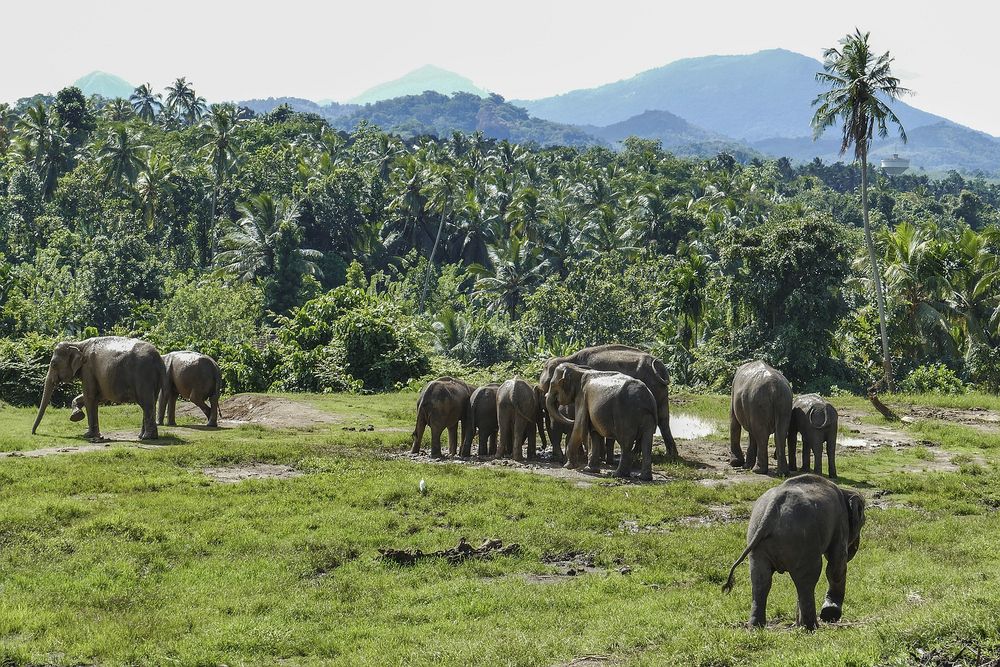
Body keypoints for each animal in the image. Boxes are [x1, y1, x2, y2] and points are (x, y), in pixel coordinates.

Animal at [32, 336, 166, 440]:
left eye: (54, 364)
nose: (33, 433)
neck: (77, 344)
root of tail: (158, 359)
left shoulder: (88, 369)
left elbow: (89, 396)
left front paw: (88, 435)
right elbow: (98, 397)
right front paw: (77, 416)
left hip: (143, 375)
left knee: (146, 403)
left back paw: (147, 437)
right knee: (151, 401)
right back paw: (142, 436)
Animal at [536, 344, 676, 460]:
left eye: (548, 386)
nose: (543, 448)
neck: (569, 358)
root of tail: (660, 367)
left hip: (653, 388)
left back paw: (638, 453)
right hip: (660, 391)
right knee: (663, 419)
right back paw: (670, 454)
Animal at [720, 474, 868, 632]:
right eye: (863, 522)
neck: (844, 491)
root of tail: (772, 508)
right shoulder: (841, 523)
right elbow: (836, 564)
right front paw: (830, 615)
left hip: (757, 540)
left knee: (761, 581)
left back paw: (756, 627)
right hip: (803, 541)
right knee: (808, 579)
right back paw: (811, 628)